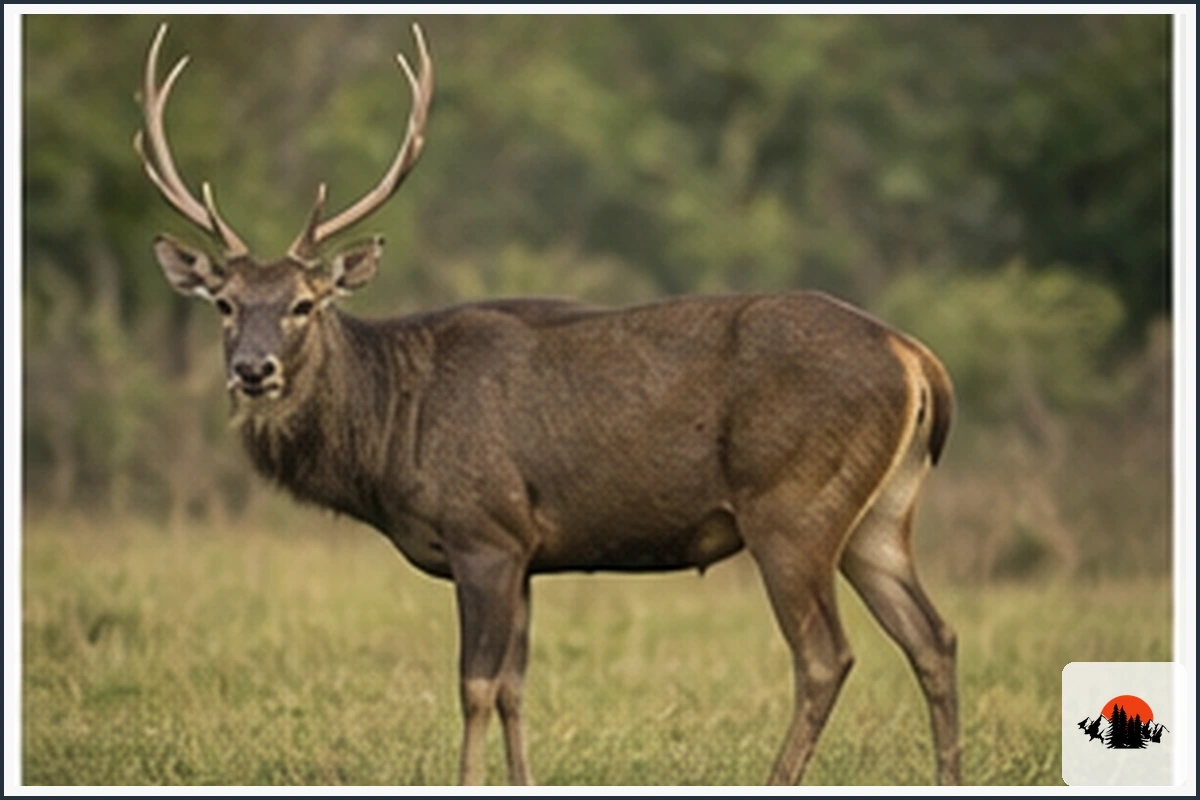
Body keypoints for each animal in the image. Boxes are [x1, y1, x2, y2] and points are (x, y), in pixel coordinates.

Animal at [136, 21, 960, 786]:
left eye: (304, 304)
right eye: (225, 304)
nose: (253, 369)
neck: (393, 432)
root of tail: (917, 359)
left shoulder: (485, 531)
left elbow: (474, 685)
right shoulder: (529, 551)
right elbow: (515, 689)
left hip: (792, 505)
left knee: (825, 656)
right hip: (879, 514)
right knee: (934, 637)